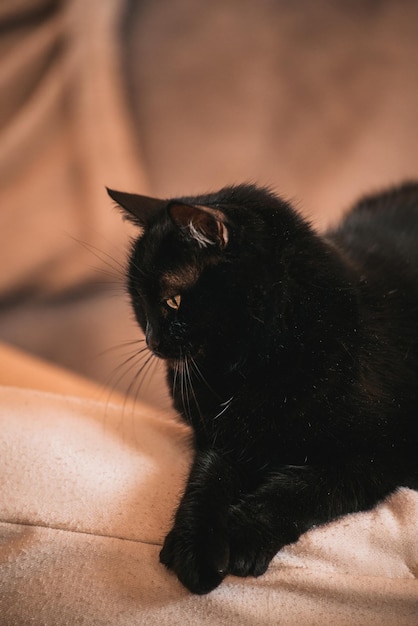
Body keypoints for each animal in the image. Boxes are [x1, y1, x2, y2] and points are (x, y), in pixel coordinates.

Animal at [107, 183, 418, 592]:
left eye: (172, 301)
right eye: (138, 303)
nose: (151, 340)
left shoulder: (379, 455)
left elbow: (298, 490)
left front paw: (241, 535)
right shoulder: (223, 439)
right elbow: (206, 480)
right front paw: (194, 547)